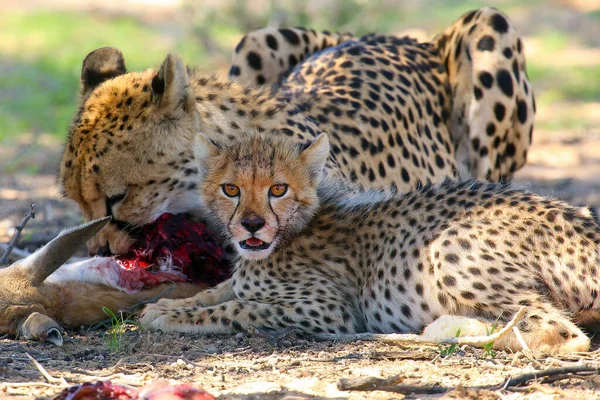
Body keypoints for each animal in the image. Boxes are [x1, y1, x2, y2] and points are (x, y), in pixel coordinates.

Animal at [57, 7, 536, 256]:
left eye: (117, 198)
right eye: (76, 202)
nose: (98, 250)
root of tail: (404, 38)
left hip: (490, 26)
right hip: (257, 39)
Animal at [142, 130, 600, 354]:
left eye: (278, 189)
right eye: (231, 189)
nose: (252, 225)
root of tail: (578, 220)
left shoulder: (330, 312)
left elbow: (238, 307)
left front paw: (171, 316)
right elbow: (221, 290)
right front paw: (167, 305)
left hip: (446, 248)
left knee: (563, 333)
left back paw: (447, 328)